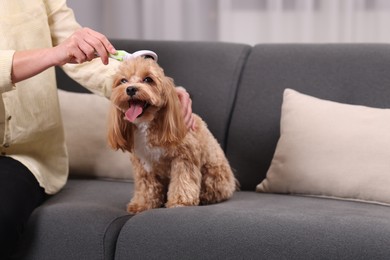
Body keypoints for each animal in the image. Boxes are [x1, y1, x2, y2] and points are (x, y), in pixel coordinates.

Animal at [108, 56, 239, 213]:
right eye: (123, 81)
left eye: (148, 79)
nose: (131, 89)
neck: (148, 124)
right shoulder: (144, 164)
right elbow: (145, 186)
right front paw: (142, 204)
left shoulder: (184, 158)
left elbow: (182, 181)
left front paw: (180, 202)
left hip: (213, 175)